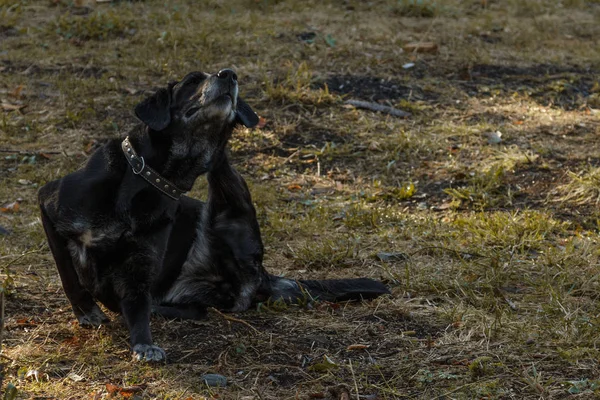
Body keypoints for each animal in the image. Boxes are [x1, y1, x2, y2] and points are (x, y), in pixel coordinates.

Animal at [39, 69, 392, 362]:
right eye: (192, 81)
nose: (230, 74)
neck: (147, 178)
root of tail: (263, 273)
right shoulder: (48, 204)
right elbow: (67, 271)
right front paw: (86, 309)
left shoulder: (140, 267)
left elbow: (137, 306)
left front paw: (143, 342)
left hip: (228, 212)